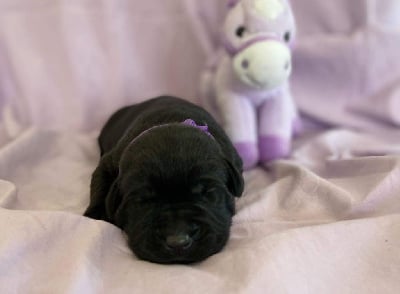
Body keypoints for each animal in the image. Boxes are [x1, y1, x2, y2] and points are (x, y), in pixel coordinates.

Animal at [84, 96, 244, 264]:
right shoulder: (109, 162)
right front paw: (97, 215)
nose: (178, 242)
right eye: (141, 201)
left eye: (206, 193)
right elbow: (99, 185)